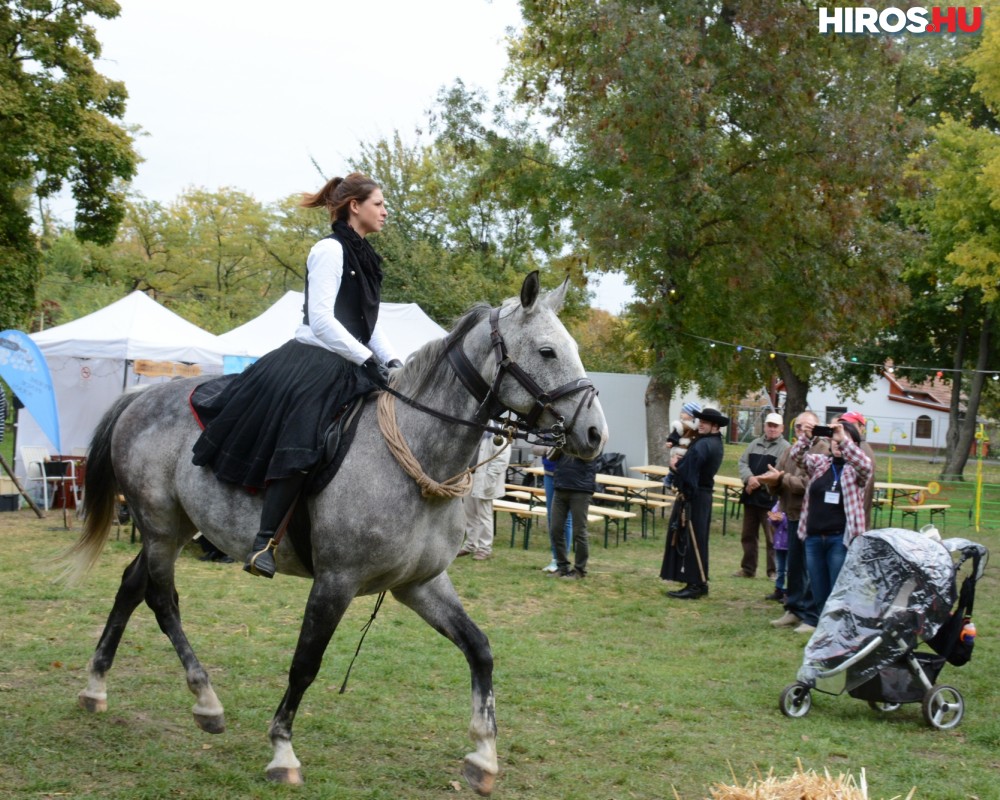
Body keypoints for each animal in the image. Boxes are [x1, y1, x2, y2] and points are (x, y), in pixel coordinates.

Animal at [66, 276, 608, 792]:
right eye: (547, 351)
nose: (594, 435)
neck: (414, 456)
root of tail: (141, 396)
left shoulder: (421, 584)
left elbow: (479, 648)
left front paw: (483, 756)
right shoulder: (336, 582)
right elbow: (306, 662)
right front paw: (282, 751)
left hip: (174, 529)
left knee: (132, 585)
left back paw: (95, 687)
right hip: (160, 527)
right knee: (162, 600)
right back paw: (206, 700)